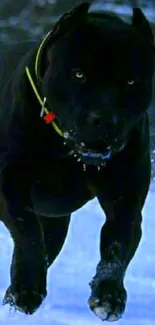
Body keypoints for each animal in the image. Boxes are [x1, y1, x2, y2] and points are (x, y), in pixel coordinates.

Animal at [0, 2, 154, 320]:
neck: (67, 151)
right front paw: (28, 290)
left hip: (56, 223)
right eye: (79, 74)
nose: (105, 120)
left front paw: (108, 296)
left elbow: (117, 246)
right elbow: (28, 233)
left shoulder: (126, 199)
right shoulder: (10, 182)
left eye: (131, 81)